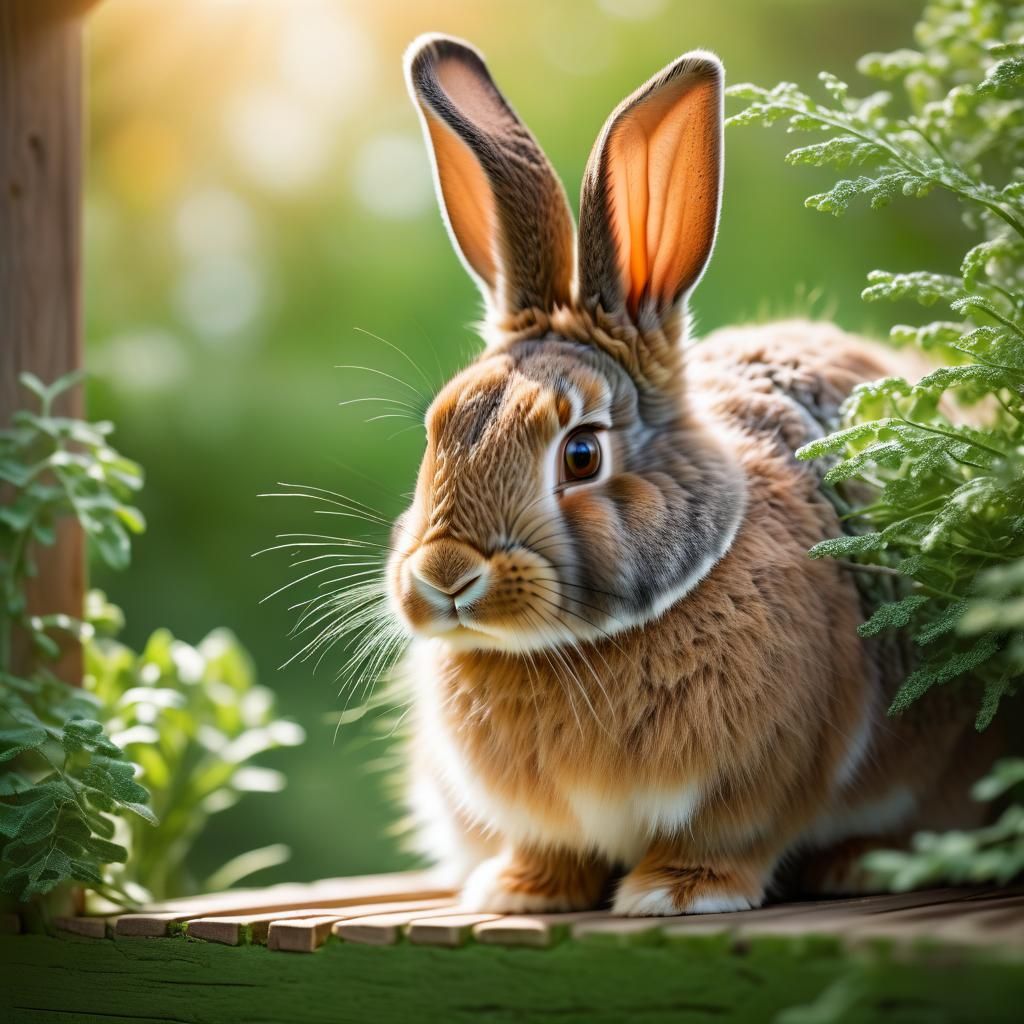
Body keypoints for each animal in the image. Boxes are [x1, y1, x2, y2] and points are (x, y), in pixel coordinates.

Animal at [385, 34, 998, 916]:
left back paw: (859, 864)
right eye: (439, 429)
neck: (569, 647)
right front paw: (520, 892)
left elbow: (726, 839)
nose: (443, 576)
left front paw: (673, 894)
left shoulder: (763, 780)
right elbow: (550, 849)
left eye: (581, 454)